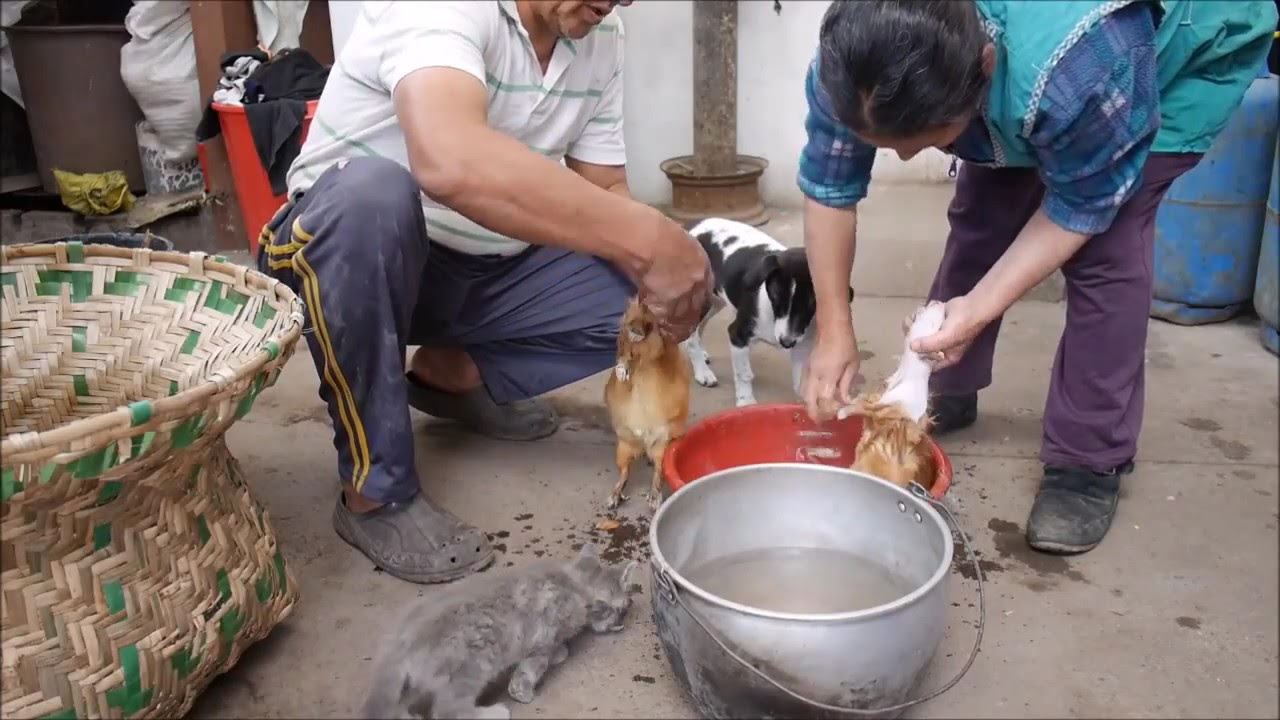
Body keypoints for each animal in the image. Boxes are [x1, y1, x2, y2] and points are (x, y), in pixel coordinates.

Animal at [606, 297, 696, 509]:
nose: (636, 328)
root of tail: (643, 445)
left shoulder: (663, 351)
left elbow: (663, 351)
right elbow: (624, 357)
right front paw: (622, 371)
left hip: (661, 446)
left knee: (657, 470)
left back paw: (653, 499)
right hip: (624, 446)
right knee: (625, 471)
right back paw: (615, 497)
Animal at [680, 215, 849, 407]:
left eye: (812, 304)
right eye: (775, 296)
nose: (786, 342)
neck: (771, 314)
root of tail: (690, 226)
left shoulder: (801, 345)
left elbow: (800, 380)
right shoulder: (738, 335)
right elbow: (744, 374)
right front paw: (746, 403)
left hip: (716, 301)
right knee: (691, 338)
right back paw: (703, 372)